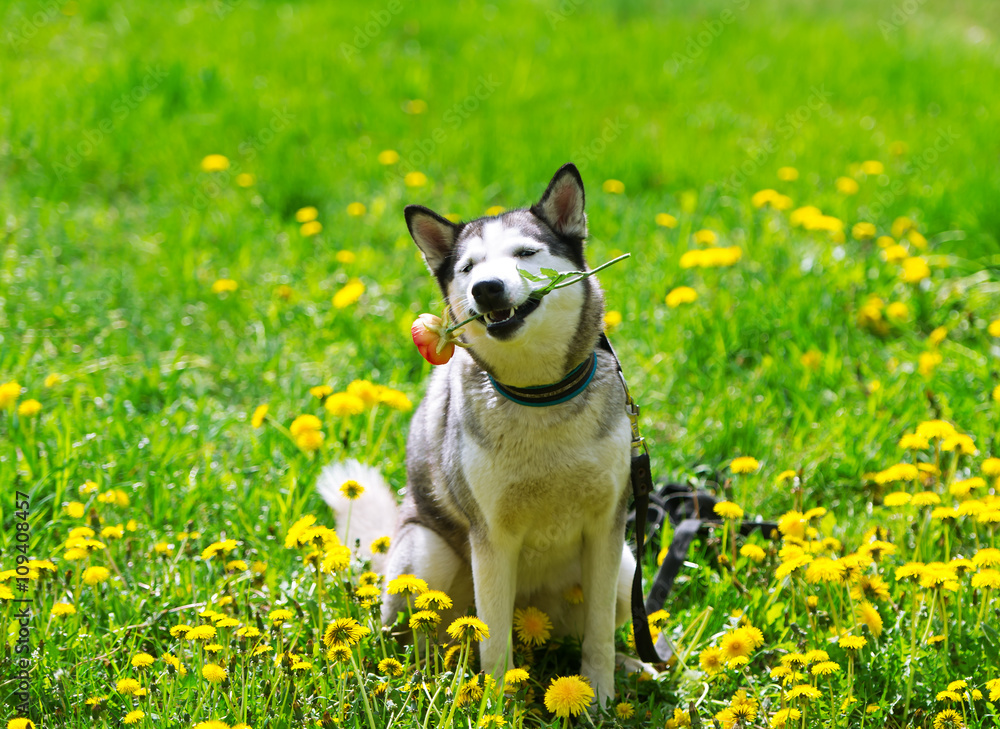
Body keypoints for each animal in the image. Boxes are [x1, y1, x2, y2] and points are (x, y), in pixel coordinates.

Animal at [320, 166, 632, 704]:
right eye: (468, 267)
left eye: (525, 253)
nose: (487, 288)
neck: (540, 395)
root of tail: (537, 620)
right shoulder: (492, 538)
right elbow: (493, 643)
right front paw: (497, 705)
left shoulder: (606, 527)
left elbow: (598, 637)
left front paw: (601, 698)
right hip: (426, 557)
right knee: (430, 638)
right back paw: (432, 679)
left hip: (627, 572)